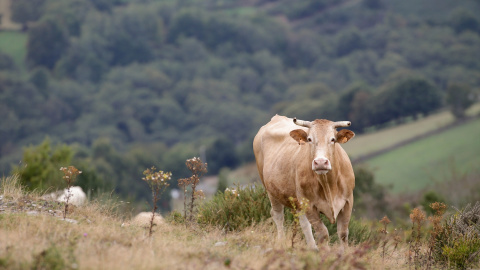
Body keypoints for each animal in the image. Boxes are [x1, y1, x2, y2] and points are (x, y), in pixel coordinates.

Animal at [253, 115, 354, 250]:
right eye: (309, 139)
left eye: (333, 139)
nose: (320, 162)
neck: (328, 186)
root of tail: (277, 117)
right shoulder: (309, 204)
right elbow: (323, 233)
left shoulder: (348, 201)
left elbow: (343, 233)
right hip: (271, 191)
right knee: (278, 216)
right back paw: (282, 243)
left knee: (303, 222)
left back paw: (312, 248)